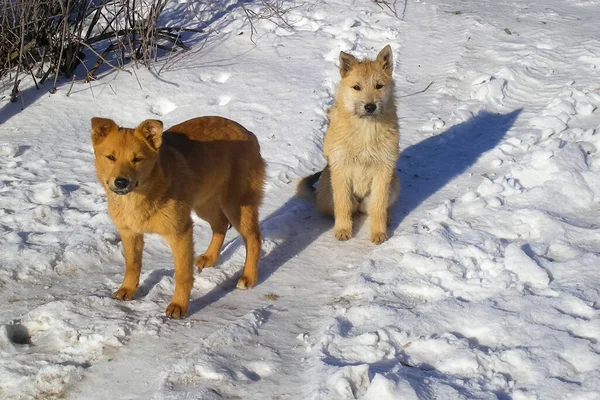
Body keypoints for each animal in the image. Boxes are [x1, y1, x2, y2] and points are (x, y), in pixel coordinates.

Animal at [91, 115, 264, 318]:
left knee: (253, 238)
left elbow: (182, 275)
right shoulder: (129, 232)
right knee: (220, 225)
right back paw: (210, 258)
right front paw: (127, 290)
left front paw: (179, 306)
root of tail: (247, 132)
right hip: (204, 204)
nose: (121, 182)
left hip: (237, 204)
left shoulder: (180, 233)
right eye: (111, 157)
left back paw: (248, 277)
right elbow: (132, 264)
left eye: (137, 159)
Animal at [298, 43, 400, 244]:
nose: (370, 106)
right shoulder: (341, 169)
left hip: (393, 184)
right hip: (327, 193)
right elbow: (342, 205)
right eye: (356, 87)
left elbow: (378, 206)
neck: (365, 130)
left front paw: (378, 232)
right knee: (343, 208)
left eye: (379, 86)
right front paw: (343, 229)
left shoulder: (383, 170)